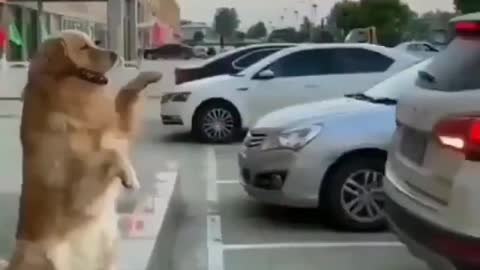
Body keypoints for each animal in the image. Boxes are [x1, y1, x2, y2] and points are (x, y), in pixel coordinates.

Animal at [0, 30, 163, 270]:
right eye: (84, 48)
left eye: (94, 42)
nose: (115, 54)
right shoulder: (79, 189)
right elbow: (109, 155)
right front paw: (129, 177)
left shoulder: (118, 132)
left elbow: (125, 97)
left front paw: (148, 75)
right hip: (44, 255)